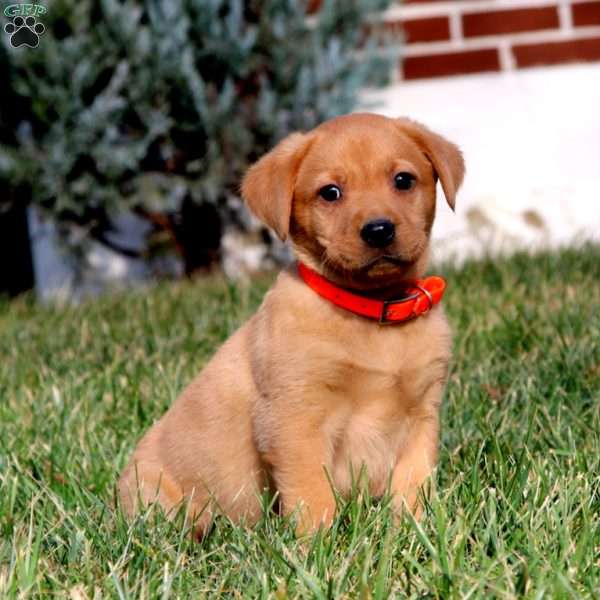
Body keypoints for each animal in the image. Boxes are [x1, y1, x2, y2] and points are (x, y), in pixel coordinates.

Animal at [117, 112, 464, 536]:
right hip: (163, 499)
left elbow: (413, 483)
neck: (373, 312)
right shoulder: (293, 421)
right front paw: (319, 545)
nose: (379, 230)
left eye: (403, 180)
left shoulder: (421, 416)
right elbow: (313, 494)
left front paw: (414, 532)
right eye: (330, 192)